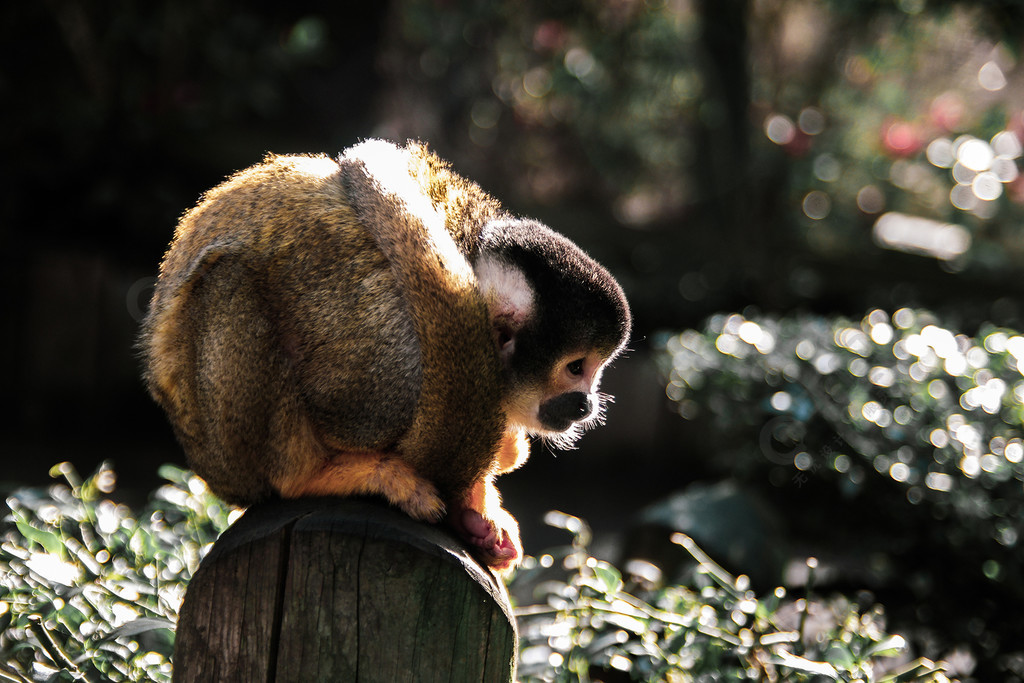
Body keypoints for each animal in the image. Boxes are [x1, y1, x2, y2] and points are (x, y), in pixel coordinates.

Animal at [140, 139, 626, 573]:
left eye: (595, 371)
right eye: (576, 368)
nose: (587, 404)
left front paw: (478, 507)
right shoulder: (395, 356)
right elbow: (344, 412)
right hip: (227, 452)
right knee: (230, 283)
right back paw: (310, 478)